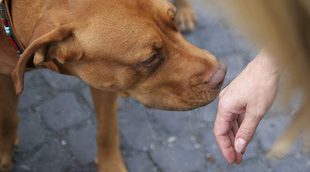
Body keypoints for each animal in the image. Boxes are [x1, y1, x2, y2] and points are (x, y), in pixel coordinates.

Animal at [0, 0, 225, 171]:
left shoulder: (106, 86)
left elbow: (107, 130)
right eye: (149, 59)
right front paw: (4, 154)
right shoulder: (5, 76)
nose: (222, 74)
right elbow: (7, 118)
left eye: (173, 19)